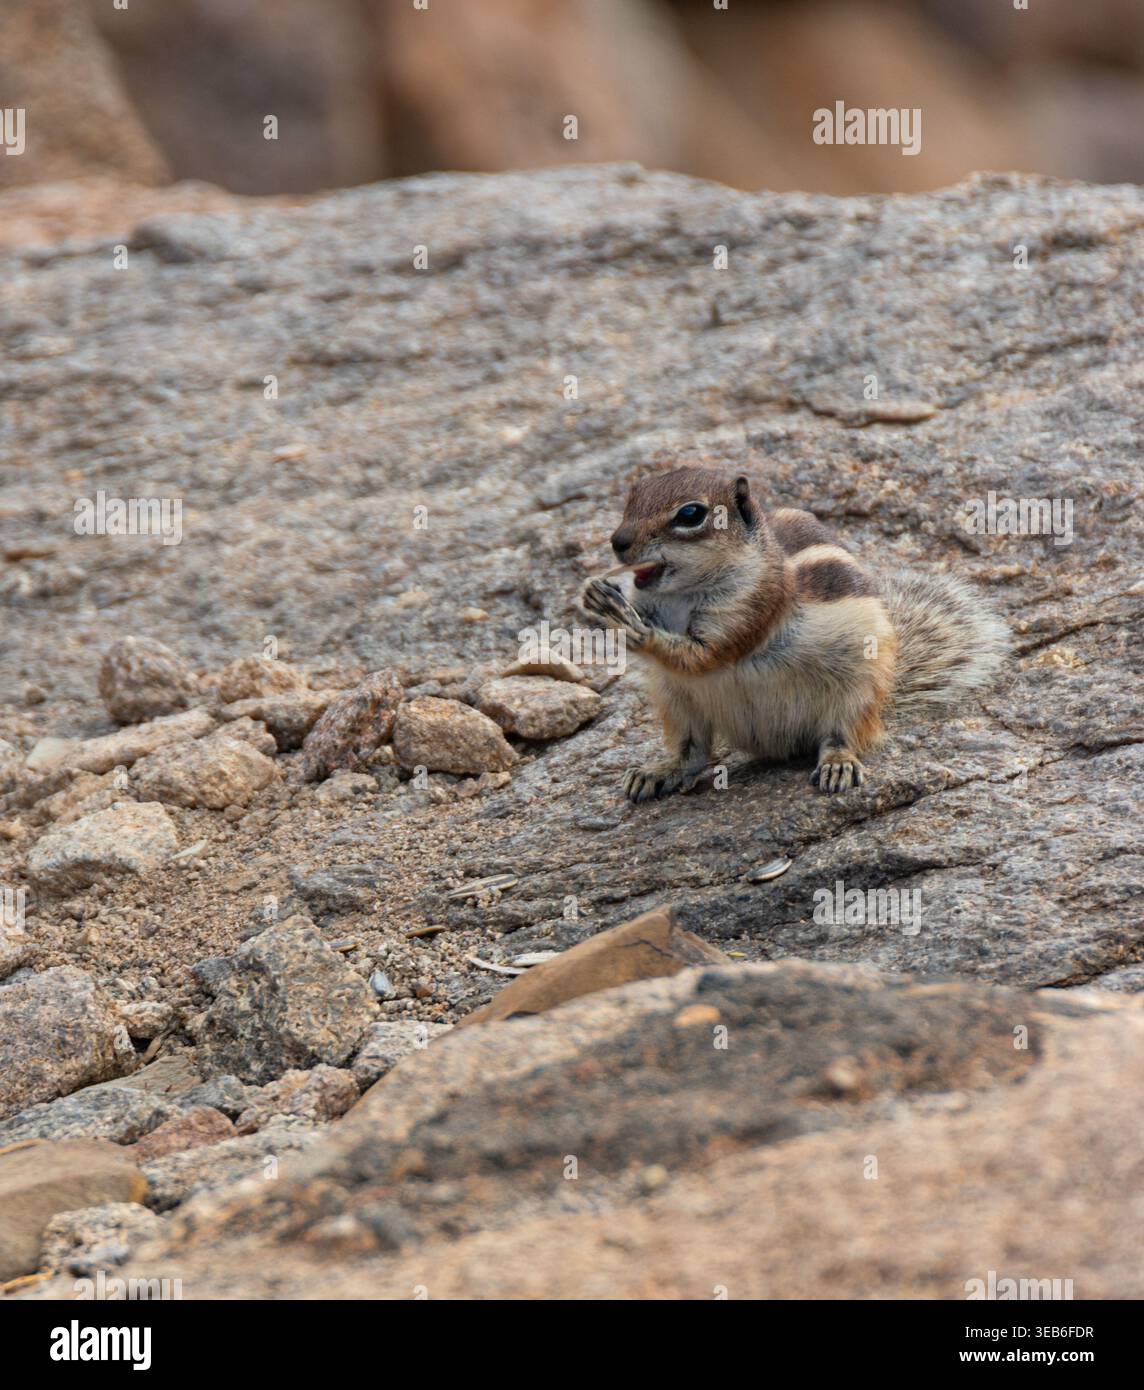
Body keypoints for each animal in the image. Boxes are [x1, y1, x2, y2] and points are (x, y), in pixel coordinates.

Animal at [580, 467, 1008, 802]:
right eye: (632, 496)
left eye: (691, 514)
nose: (618, 542)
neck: (681, 598)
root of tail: (778, 743)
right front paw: (593, 599)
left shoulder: (751, 611)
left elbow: (701, 655)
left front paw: (628, 624)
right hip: (675, 699)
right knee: (693, 752)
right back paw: (657, 772)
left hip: (857, 689)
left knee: (843, 734)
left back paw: (838, 764)